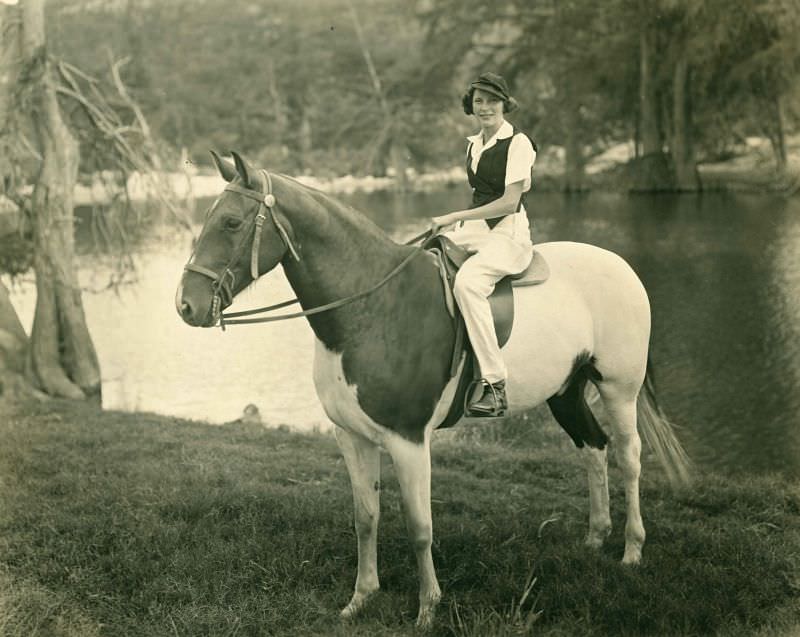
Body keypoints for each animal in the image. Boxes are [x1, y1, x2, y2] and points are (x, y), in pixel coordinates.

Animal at [175, 152, 688, 628]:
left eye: (231, 222)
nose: (186, 306)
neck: (372, 307)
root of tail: (621, 266)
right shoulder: (352, 436)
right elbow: (365, 518)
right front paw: (359, 600)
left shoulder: (408, 440)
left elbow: (420, 526)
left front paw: (427, 609)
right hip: (565, 391)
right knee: (593, 447)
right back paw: (595, 539)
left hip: (619, 389)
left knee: (629, 457)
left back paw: (631, 551)